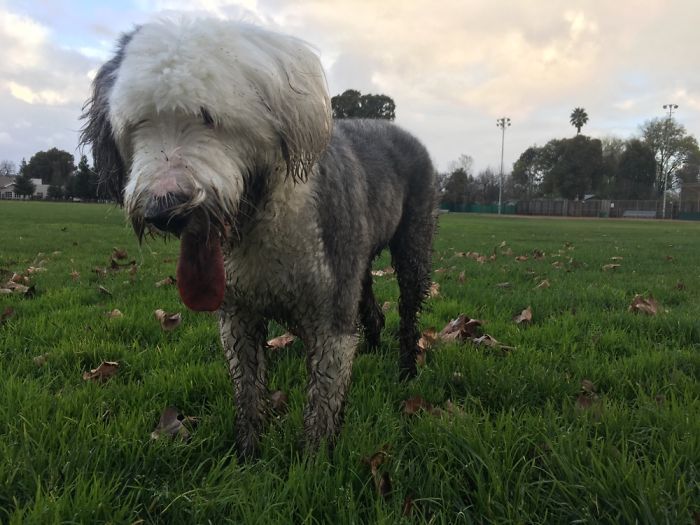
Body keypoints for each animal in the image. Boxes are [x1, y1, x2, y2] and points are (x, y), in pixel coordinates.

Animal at [80, 18, 432, 456]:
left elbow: (323, 402)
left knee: (408, 310)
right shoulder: (237, 314)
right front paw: (248, 456)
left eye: (208, 116)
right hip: (358, 259)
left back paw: (407, 370)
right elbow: (247, 392)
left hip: (413, 245)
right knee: (372, 308)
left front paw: (314, 463)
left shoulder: (328, 319)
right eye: (138, 122)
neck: (262, 218)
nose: (165, 209)